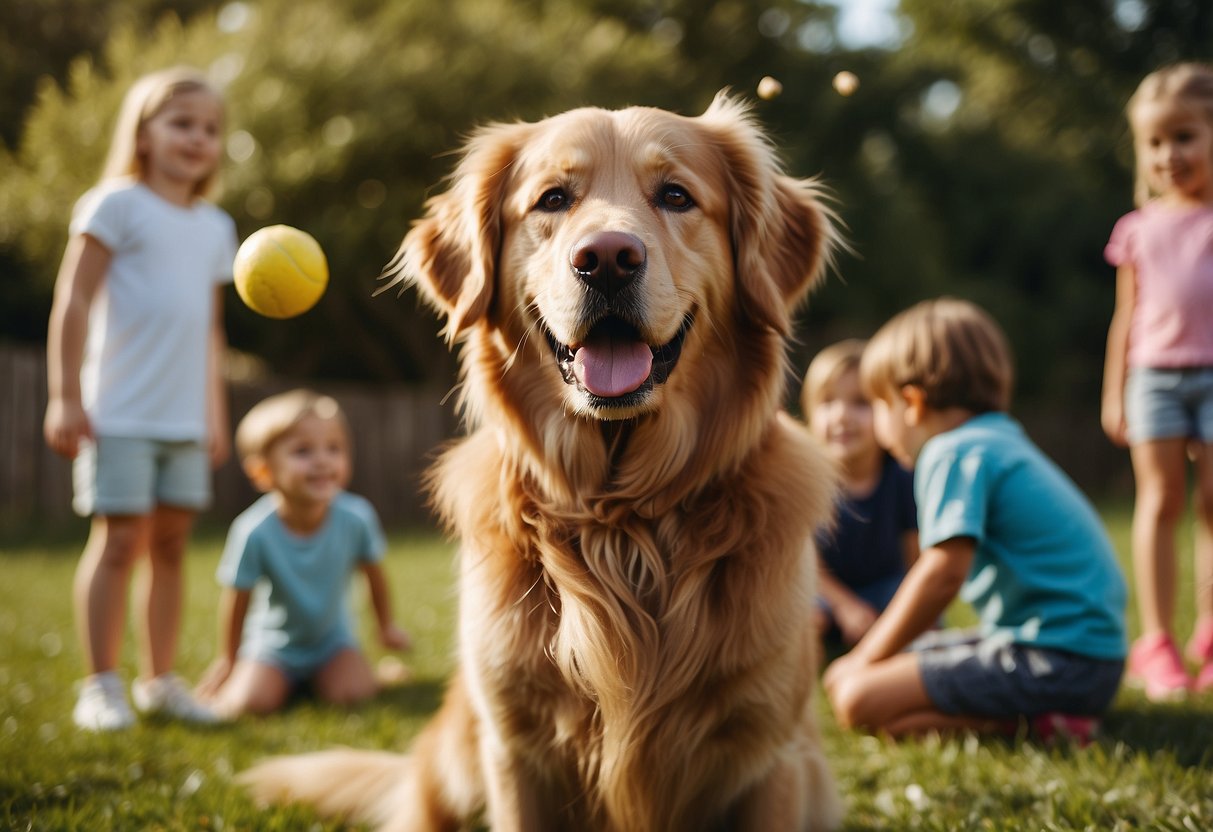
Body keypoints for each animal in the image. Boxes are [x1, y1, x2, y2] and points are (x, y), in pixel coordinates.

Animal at [236, 92, 844, 832]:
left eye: (676, 195)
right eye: (553, 199)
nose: (607, 258)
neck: (620, 518)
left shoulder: (770, 757)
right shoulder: (516, 749)